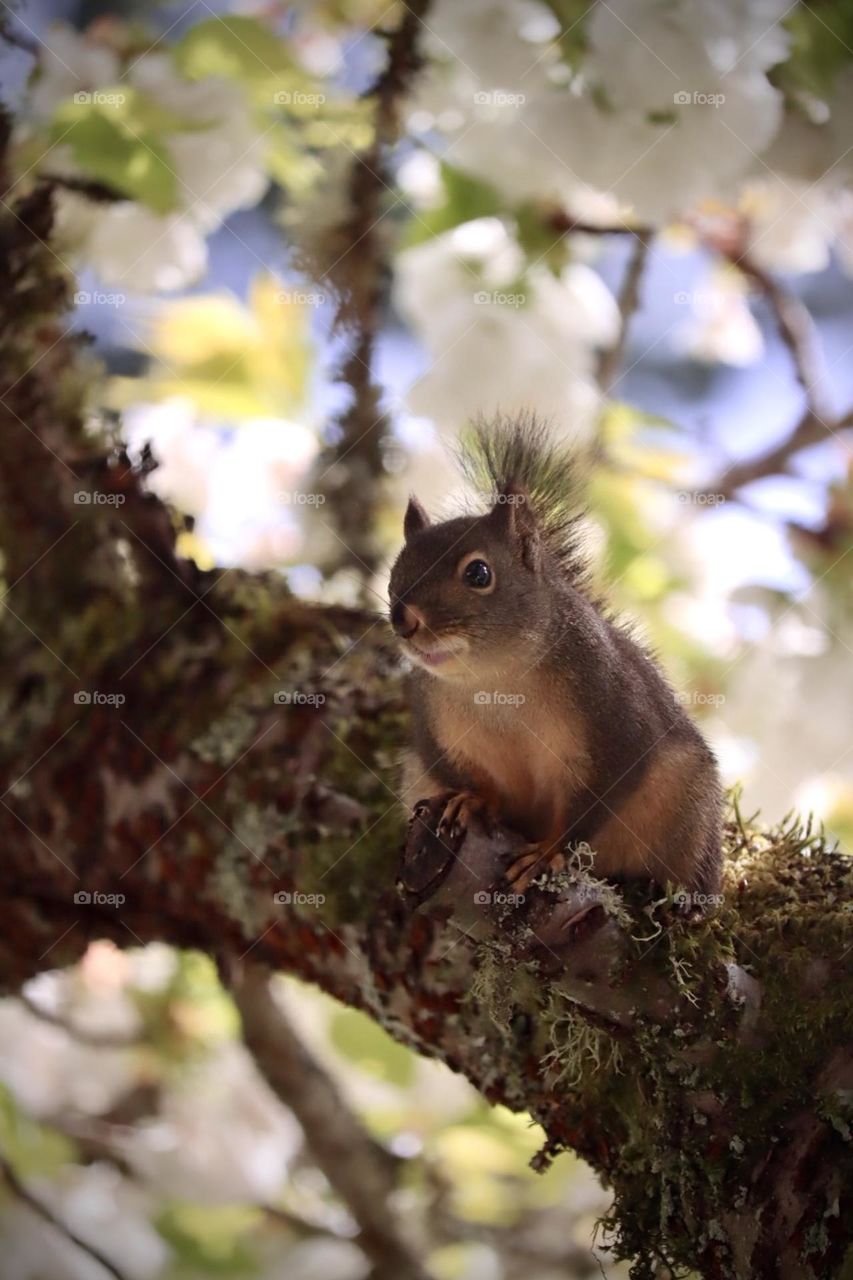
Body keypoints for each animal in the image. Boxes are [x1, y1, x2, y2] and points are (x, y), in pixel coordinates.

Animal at [389, 414, 722, 906]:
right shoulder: (437, 733)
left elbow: (597, 798)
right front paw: (472, 800)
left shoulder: (616, 721)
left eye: (478, 573)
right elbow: (463, 775)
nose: (402, 619)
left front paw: (549, 853)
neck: (494, 679)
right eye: (395, 574)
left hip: (690, 810)